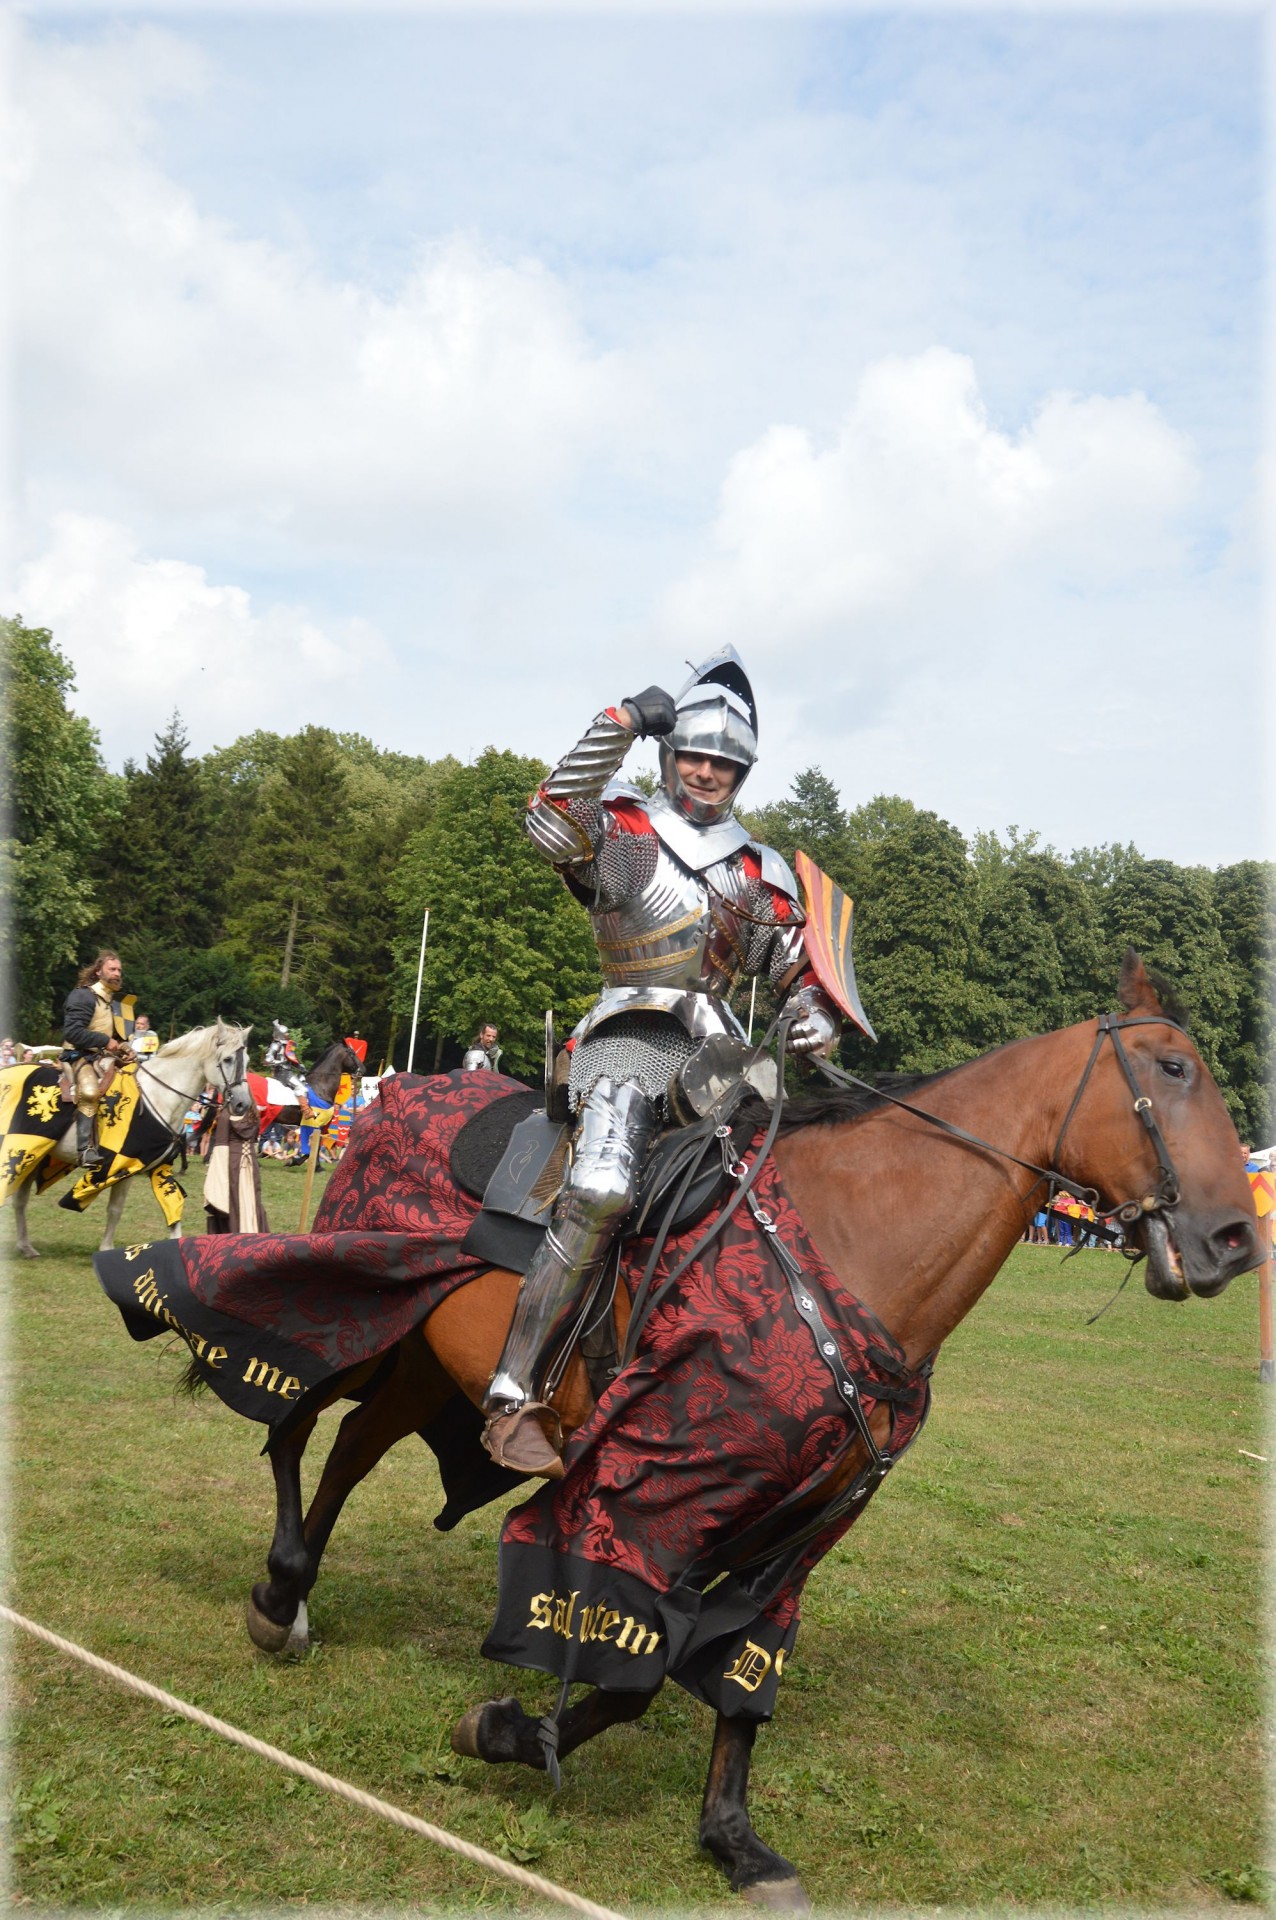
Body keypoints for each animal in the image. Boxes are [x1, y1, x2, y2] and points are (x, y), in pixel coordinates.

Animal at [10, 1021, 251, 1259]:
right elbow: (115, 1209)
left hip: (37, 1156)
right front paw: (107, 1249)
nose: (243, 1105)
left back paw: (25, 1246)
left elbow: (171, 1207)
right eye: (228, 1059)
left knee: (20, 1198)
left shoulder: (156, 1168)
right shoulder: (122, 1165)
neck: (158, 1096)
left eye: (246, 1060)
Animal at [238, 960, 1251, 1904]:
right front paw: (504, 1732)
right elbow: (629, 1667)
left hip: (425, 1364)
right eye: (1173, 1068)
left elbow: (736, 1669)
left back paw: (291, 1597)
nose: (1236, 1240)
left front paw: (731, 1837)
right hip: (369, 1313)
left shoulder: (797, 1528)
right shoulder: (654, 1494)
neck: (854, 1252)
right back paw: (279, 1592)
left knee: (353, 1448)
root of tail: (404, 1095)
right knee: (293, 1418)